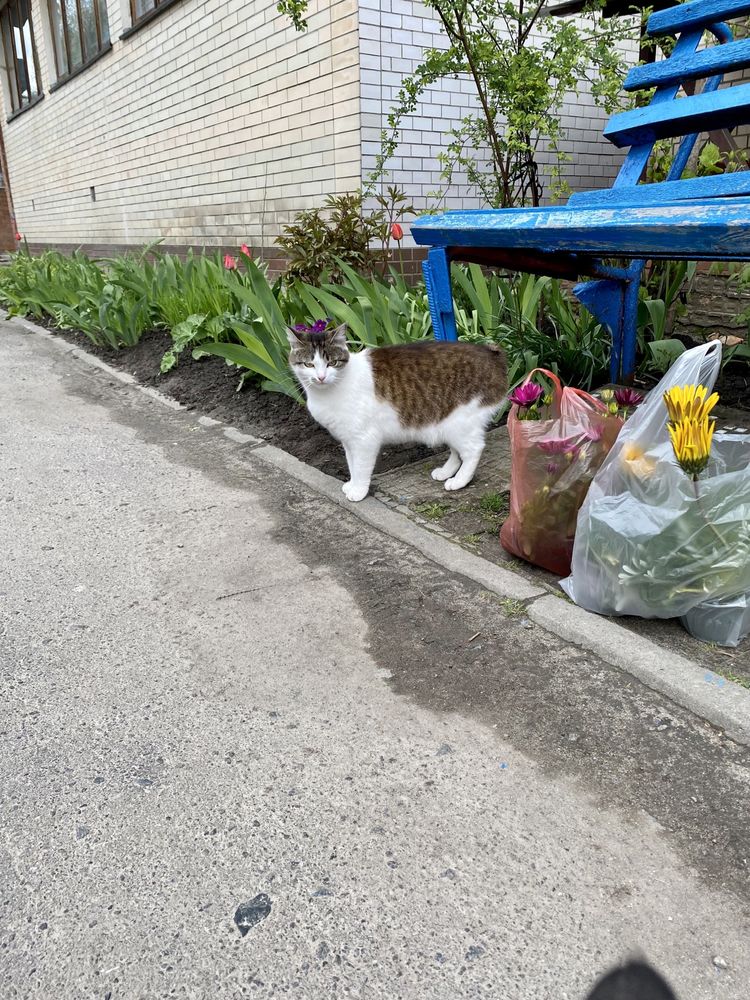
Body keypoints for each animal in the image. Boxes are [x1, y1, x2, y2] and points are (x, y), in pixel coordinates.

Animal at [290, 326, 512, 500]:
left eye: (332, 363)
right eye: (309, 364)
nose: (320, 377)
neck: (327, 393)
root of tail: (492, 354)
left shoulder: (364, 439)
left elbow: (360, 467)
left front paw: (358, 490)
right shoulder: (348, 439)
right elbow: (352, 464)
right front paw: (352, 484)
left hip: (461, 422)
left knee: (474, 450)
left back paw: (459, 481)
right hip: (447, 422)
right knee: (457, 452)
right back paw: (446, 472)